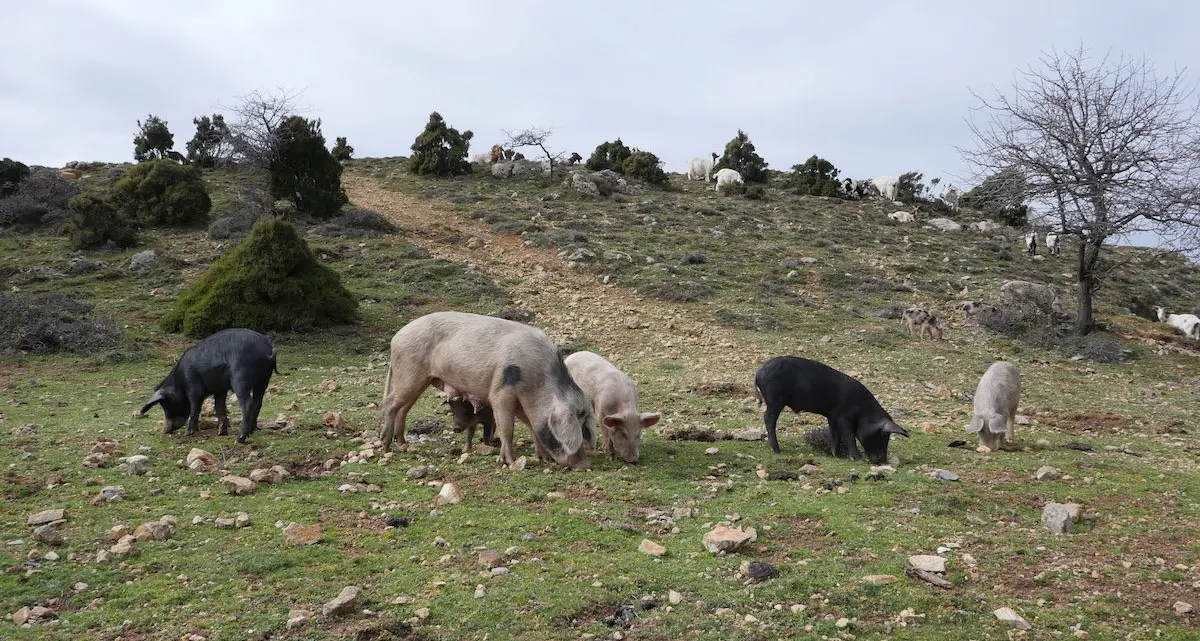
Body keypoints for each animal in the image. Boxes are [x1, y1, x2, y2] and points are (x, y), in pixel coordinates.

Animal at [139, 328, 279, 444]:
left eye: (166, 405)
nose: (164, 431)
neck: (180, 382)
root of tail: (267, 352)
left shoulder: (194, 389)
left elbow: (195, 409)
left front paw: (188, 434)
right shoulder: (220, 390)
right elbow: (219, 407)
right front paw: (221, 433)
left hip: (241, 380)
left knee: (248, 404)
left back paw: (239, 439)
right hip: (263, 381)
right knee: (257, 403)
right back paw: (252, 431)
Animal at [379, 312, 595, 470]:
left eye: (584, 427)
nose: (584, 466)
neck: (538, 381)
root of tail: (396, 337)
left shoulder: (524, 406)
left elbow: (532, 427)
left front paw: (543, 458)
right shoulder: (500, 392)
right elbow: (507, 428)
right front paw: (509, 462)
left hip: (421, 379)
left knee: (403, 408)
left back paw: (403, 444)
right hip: (409, 372)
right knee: (390, 402)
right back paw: (385, 444)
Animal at [748, 357, 907, 468]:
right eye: (883, 435)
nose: (882, 461)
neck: (864, 412)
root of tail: (758, 373)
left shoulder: (832, 417)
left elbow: (835, 434)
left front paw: (835, 455)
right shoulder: (844, 417)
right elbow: (849, 435)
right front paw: (858, 459)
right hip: (774, 400)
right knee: (768, 419)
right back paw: (778, 450)